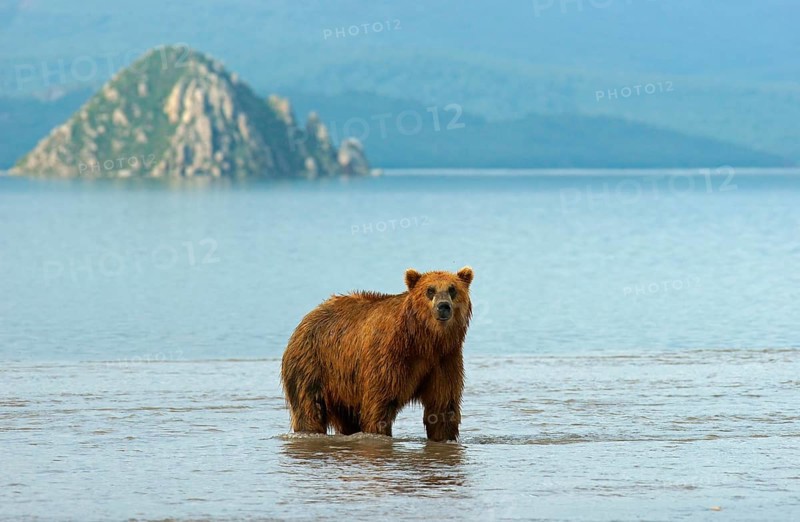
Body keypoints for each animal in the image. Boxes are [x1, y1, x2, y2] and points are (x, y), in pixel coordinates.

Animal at [281, 266, 474, 442]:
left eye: (452, 289)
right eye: (430, 290)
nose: (443, 307)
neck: (423, 341)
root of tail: (308, 317)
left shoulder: (444, 360)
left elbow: (442, 406)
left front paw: (444, 437)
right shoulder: (389, 357)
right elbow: (379, 404)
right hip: (312, 365)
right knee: (309, 408)